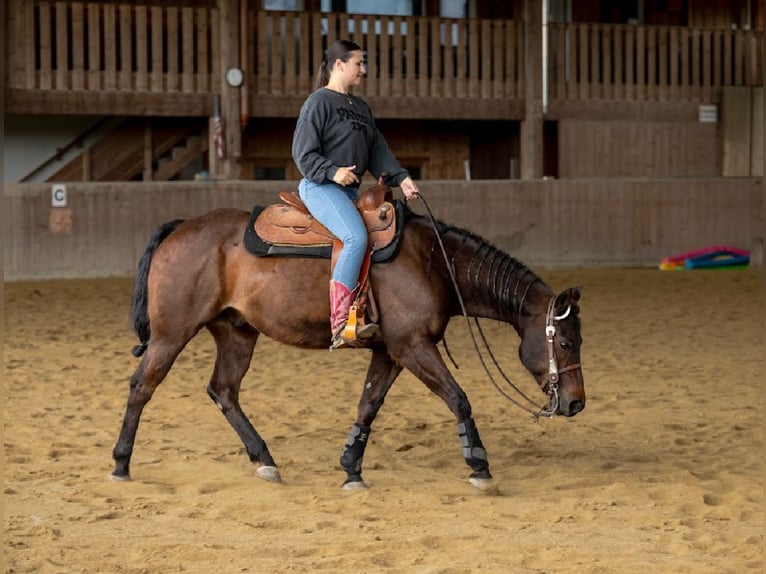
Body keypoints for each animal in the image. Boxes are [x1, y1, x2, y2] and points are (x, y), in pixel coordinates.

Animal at [110, 195, 585, 490]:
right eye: (564, 343)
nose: (576, 403)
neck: (432, 261)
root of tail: (180, 227)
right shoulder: (414, 347)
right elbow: (458, 398)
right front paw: (479, 464)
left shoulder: (391, 352)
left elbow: (367, 405)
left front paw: (351, 470)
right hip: (171, 334)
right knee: (141, 387)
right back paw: (121, 463)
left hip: (236, 332)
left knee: (223, 390)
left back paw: (265, 459)